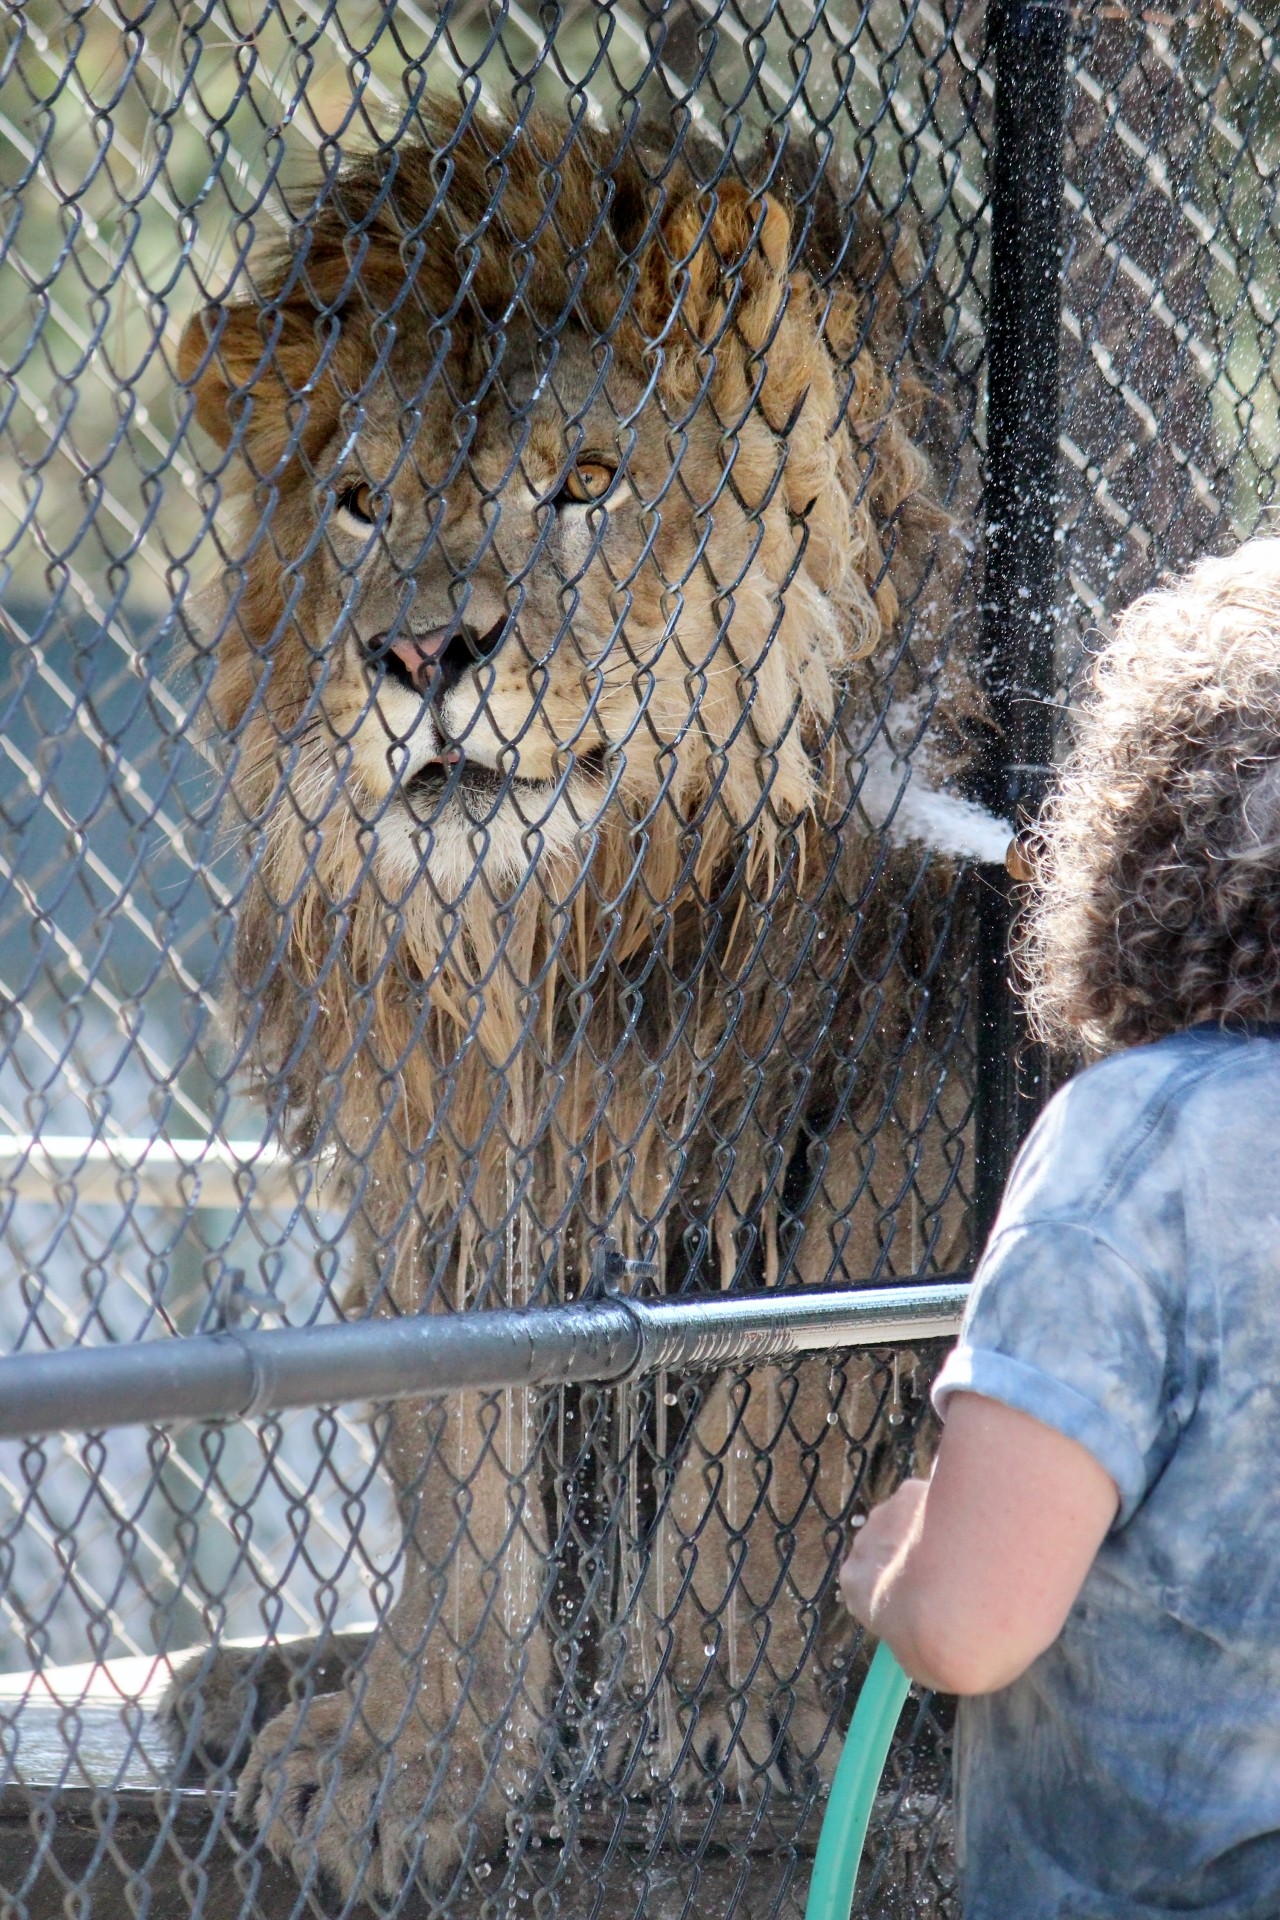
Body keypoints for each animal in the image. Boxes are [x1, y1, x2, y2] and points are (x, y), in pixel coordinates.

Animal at [165, 105, 974, 1904]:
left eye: (586, 482)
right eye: (358, 504)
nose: (419, 655)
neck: (571, 929)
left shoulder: (926, 1056)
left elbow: (787, 1394)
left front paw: (704, 1710)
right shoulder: (444, 1130)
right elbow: (459, 1466)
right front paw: (411, 1754)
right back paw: (247, 1681)